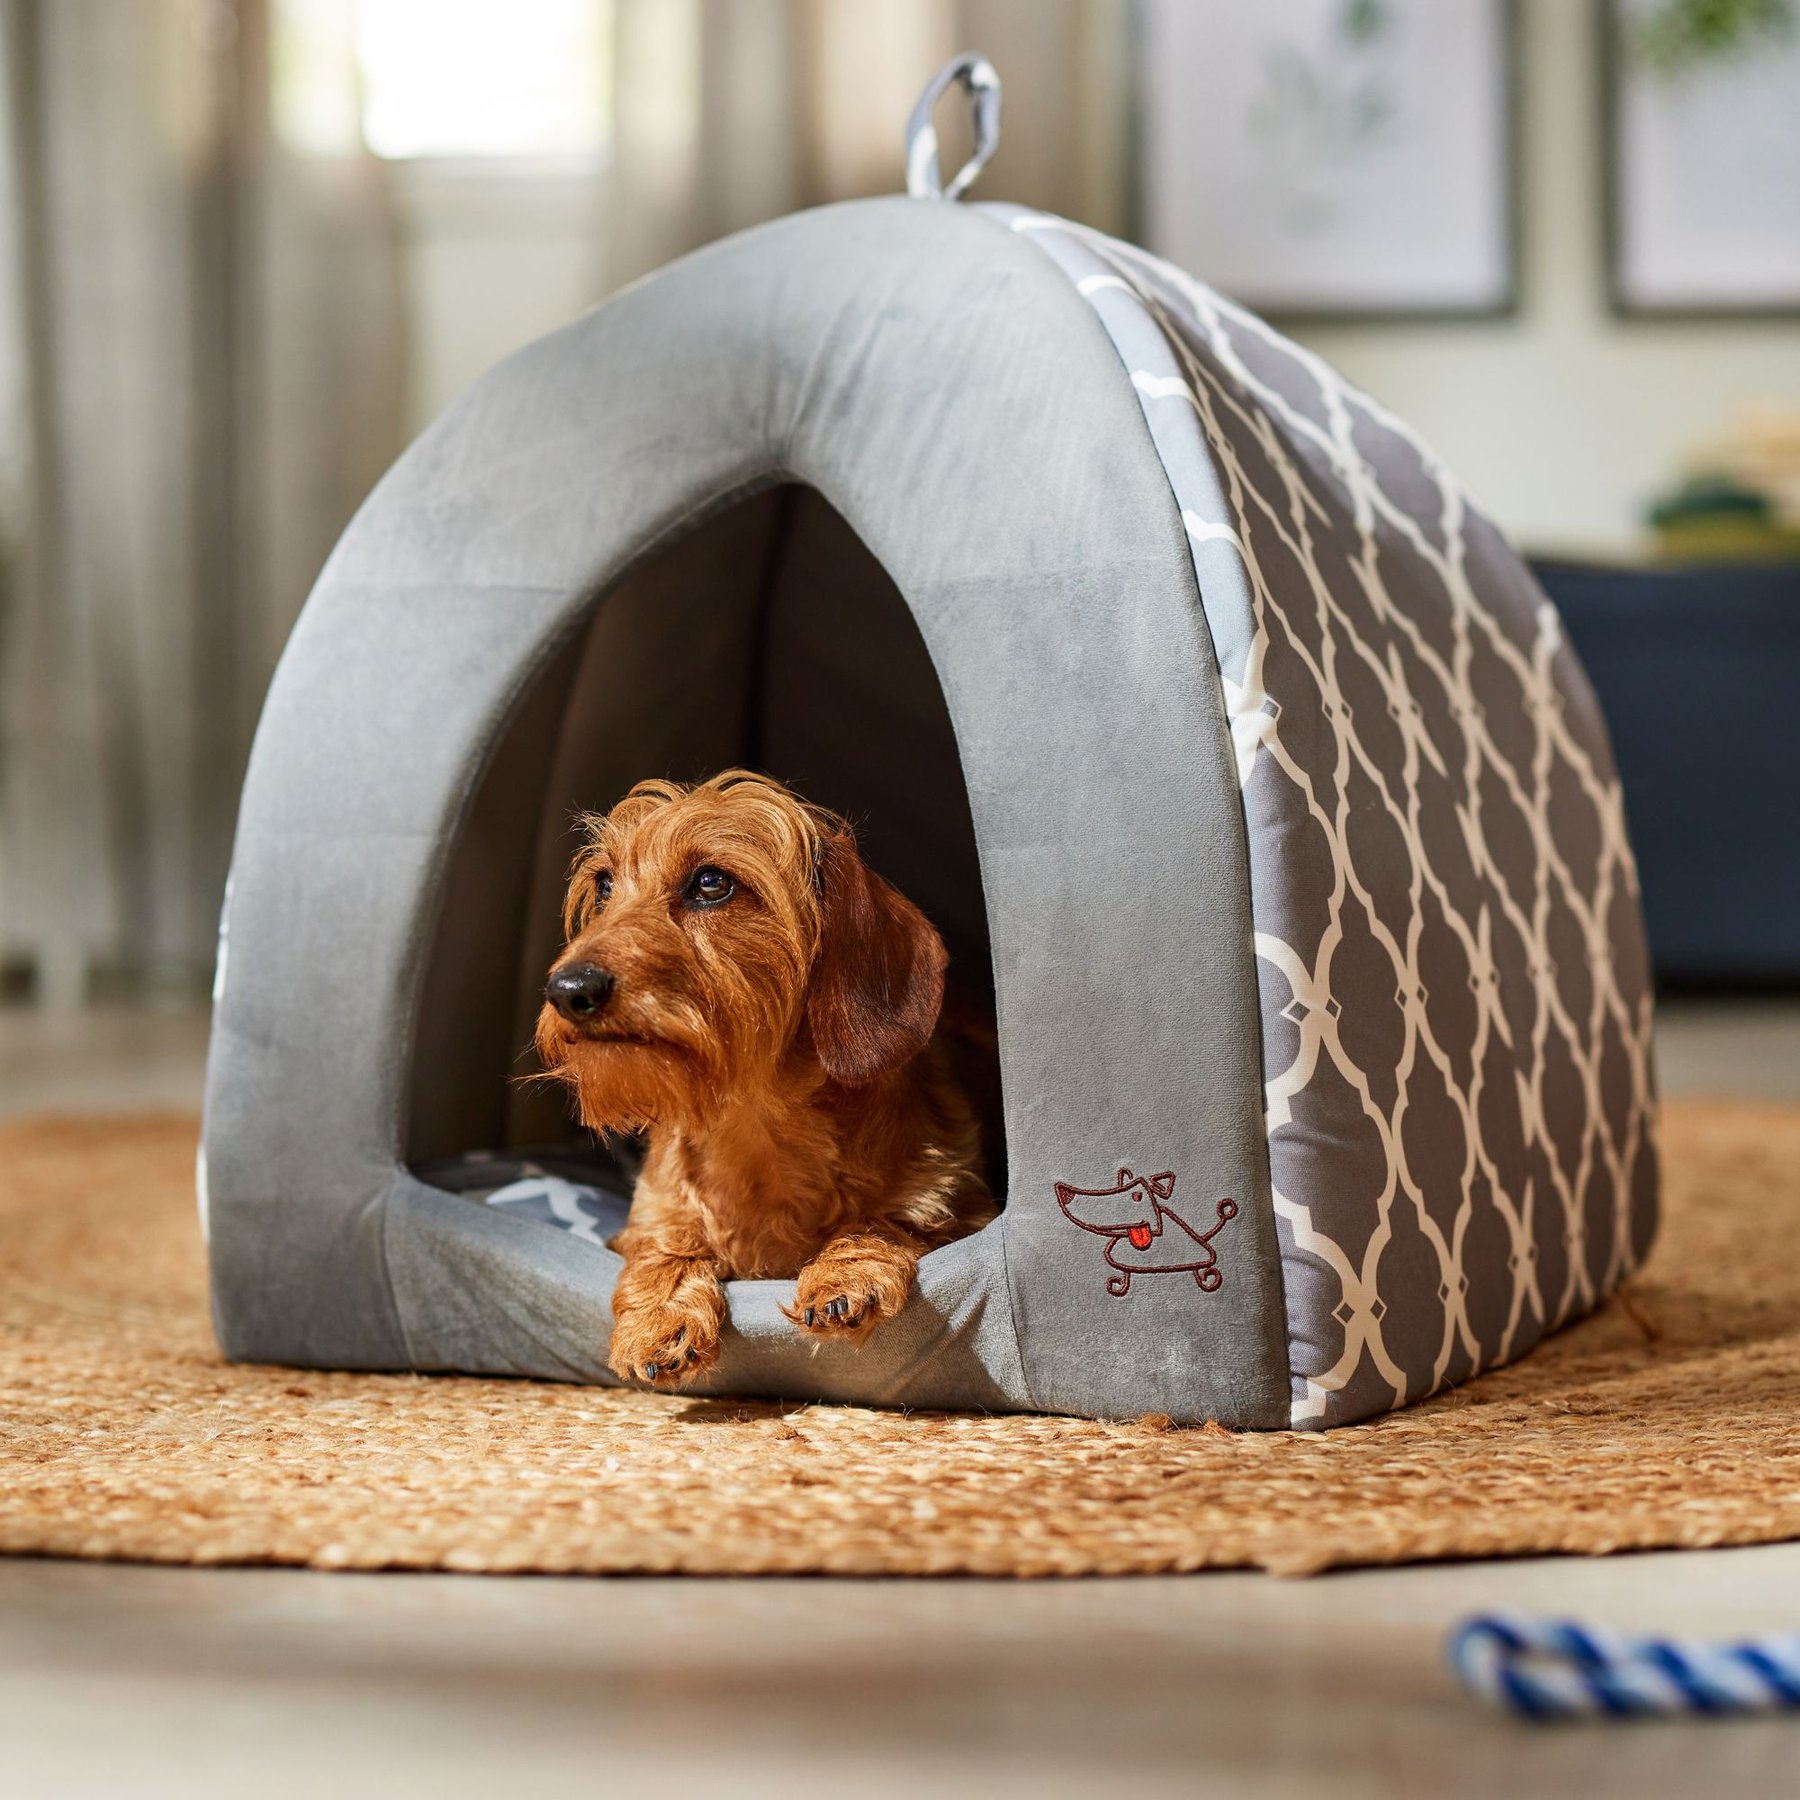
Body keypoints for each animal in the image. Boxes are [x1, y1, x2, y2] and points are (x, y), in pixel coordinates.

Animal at [529, 766, 1000, 1382]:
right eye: (605, 884)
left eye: (711, 882)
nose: (568, 989)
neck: (754, 1130)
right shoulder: (650, 1217)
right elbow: (664, 1244)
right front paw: (658, 1316)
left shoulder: (963, 1204)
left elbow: (895, 1220)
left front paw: (847, 1270)